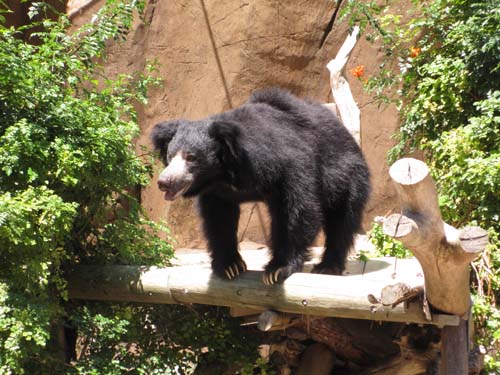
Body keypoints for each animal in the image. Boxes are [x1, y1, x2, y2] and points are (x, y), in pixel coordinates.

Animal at [152, 88, 372, 286]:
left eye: (191, 157)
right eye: (170, 156)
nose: (164, 182)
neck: (225, 175)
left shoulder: (290, 168)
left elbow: (296, 211)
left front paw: (277, 269)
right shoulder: (217, 192)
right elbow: (218, 219)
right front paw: (230, 266)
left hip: (347, 175)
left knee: (341, 220)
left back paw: (327, 266)